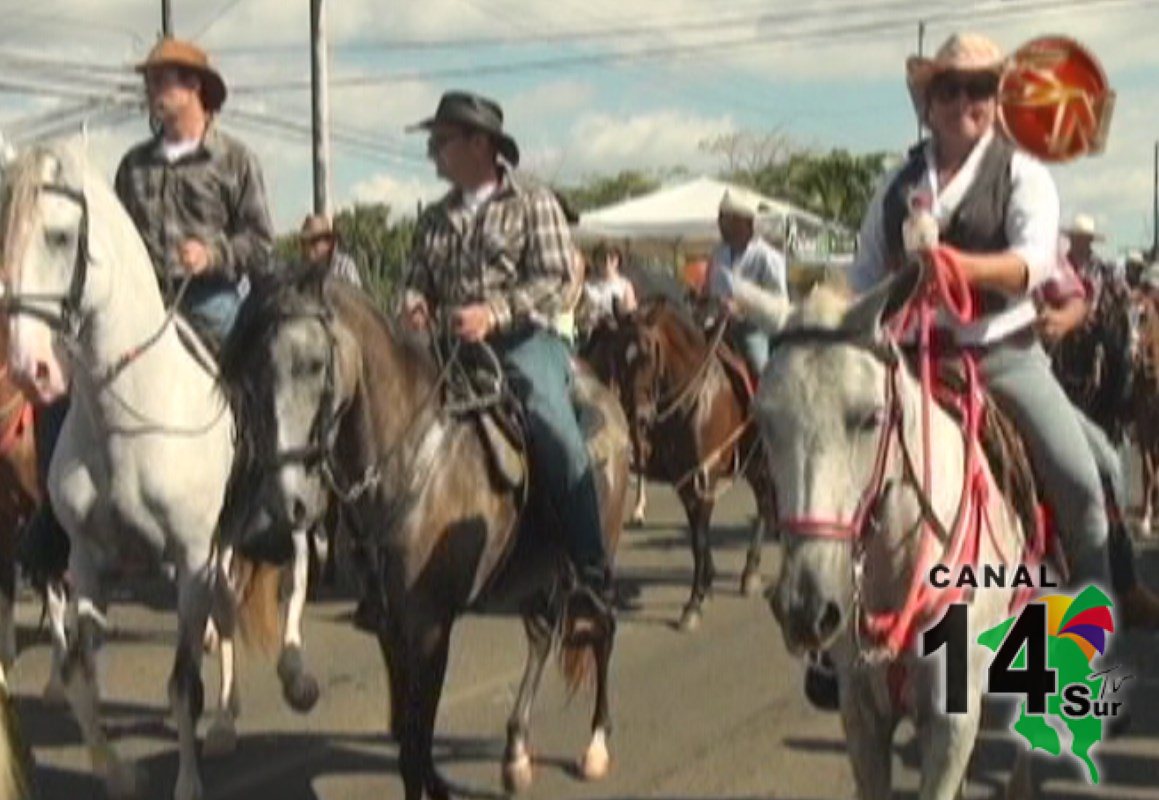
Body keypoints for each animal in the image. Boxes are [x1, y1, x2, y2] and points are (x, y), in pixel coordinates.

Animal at [0, 143, 317, 797]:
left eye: (60, 235)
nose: (29, 368)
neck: (131, 413)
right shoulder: (87, 559)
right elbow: (81, 674)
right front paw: (115, 770)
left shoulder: (190, 556)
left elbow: (181, 685)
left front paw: (186, 783)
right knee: (228, 611)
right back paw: (225, 724)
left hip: (285, 498)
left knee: (295, 568)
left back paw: (294, 673)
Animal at [220, 267, 630, 797]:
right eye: (249, 377)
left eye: (313, 364)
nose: (285, 504)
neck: (410, 458)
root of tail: (606, 397)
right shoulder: (391, 627)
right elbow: (410, 738)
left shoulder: (431, 626)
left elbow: (415, 747)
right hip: (532, 572)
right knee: (542, 635)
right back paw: (516, 753)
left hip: (596, 556)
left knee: (602, 628)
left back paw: (596, 746)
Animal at [584, 294, 774, 630]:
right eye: (619, 355)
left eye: (649, 353)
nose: (638, 416)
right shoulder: (685, 478)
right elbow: (697, 535)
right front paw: (706, 585)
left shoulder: (705, 474)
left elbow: (699, 537)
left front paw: (694, 602)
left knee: (767, 503)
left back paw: (752, 571)